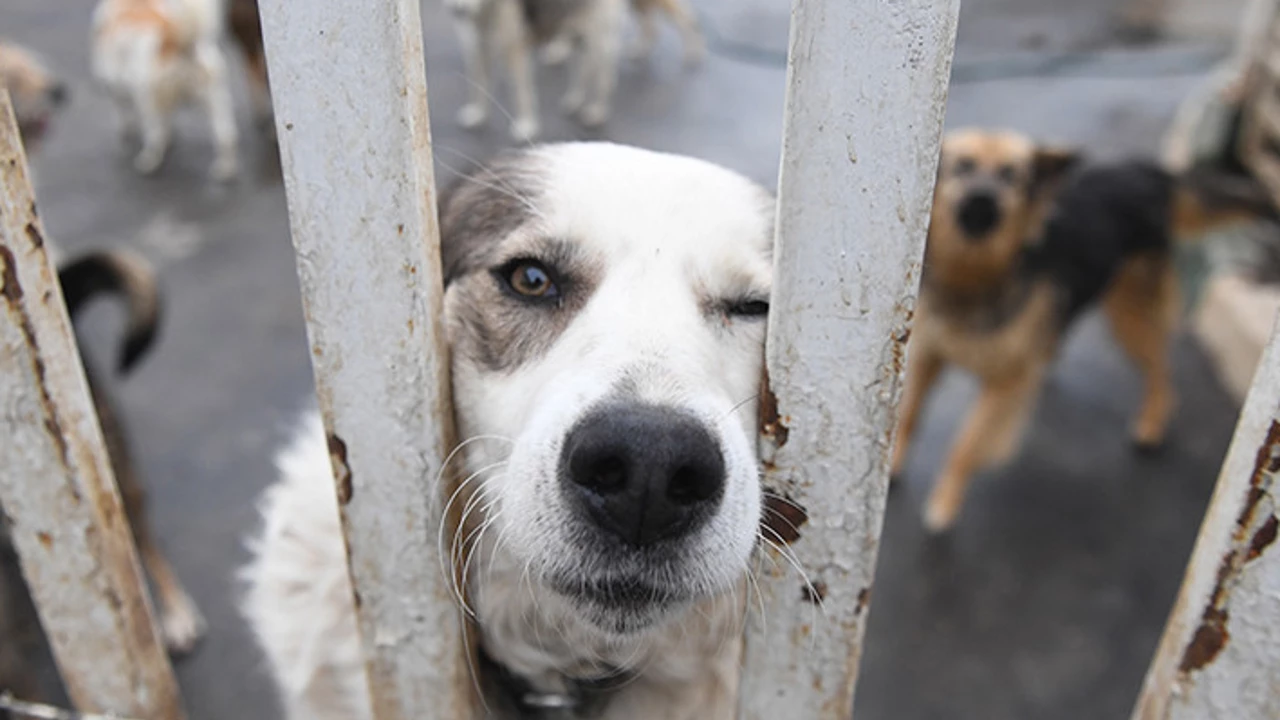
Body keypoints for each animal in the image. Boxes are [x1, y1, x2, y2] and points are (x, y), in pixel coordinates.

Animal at [92, 0, 240, 178]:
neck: (137, 4)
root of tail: (177, 43)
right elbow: (168, 121)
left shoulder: (116, 90)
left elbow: (124, 118)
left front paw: (125, 136)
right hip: (216, 100)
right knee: (225, 135)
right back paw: (225, 169)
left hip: (147, 101)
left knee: (155, 136)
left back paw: (148, 162)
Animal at [896, 128, 1274, 530]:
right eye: (963, 167)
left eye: (1011, 176)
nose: (983, 199)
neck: (975, 272)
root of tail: (1148, 174)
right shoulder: (928, 354)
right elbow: (909, 414)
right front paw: (893, 464)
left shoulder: (1005, 385)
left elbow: (965, 446)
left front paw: (945, 500)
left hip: (1129, 314)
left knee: (1160, 368)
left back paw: (1152, 422)